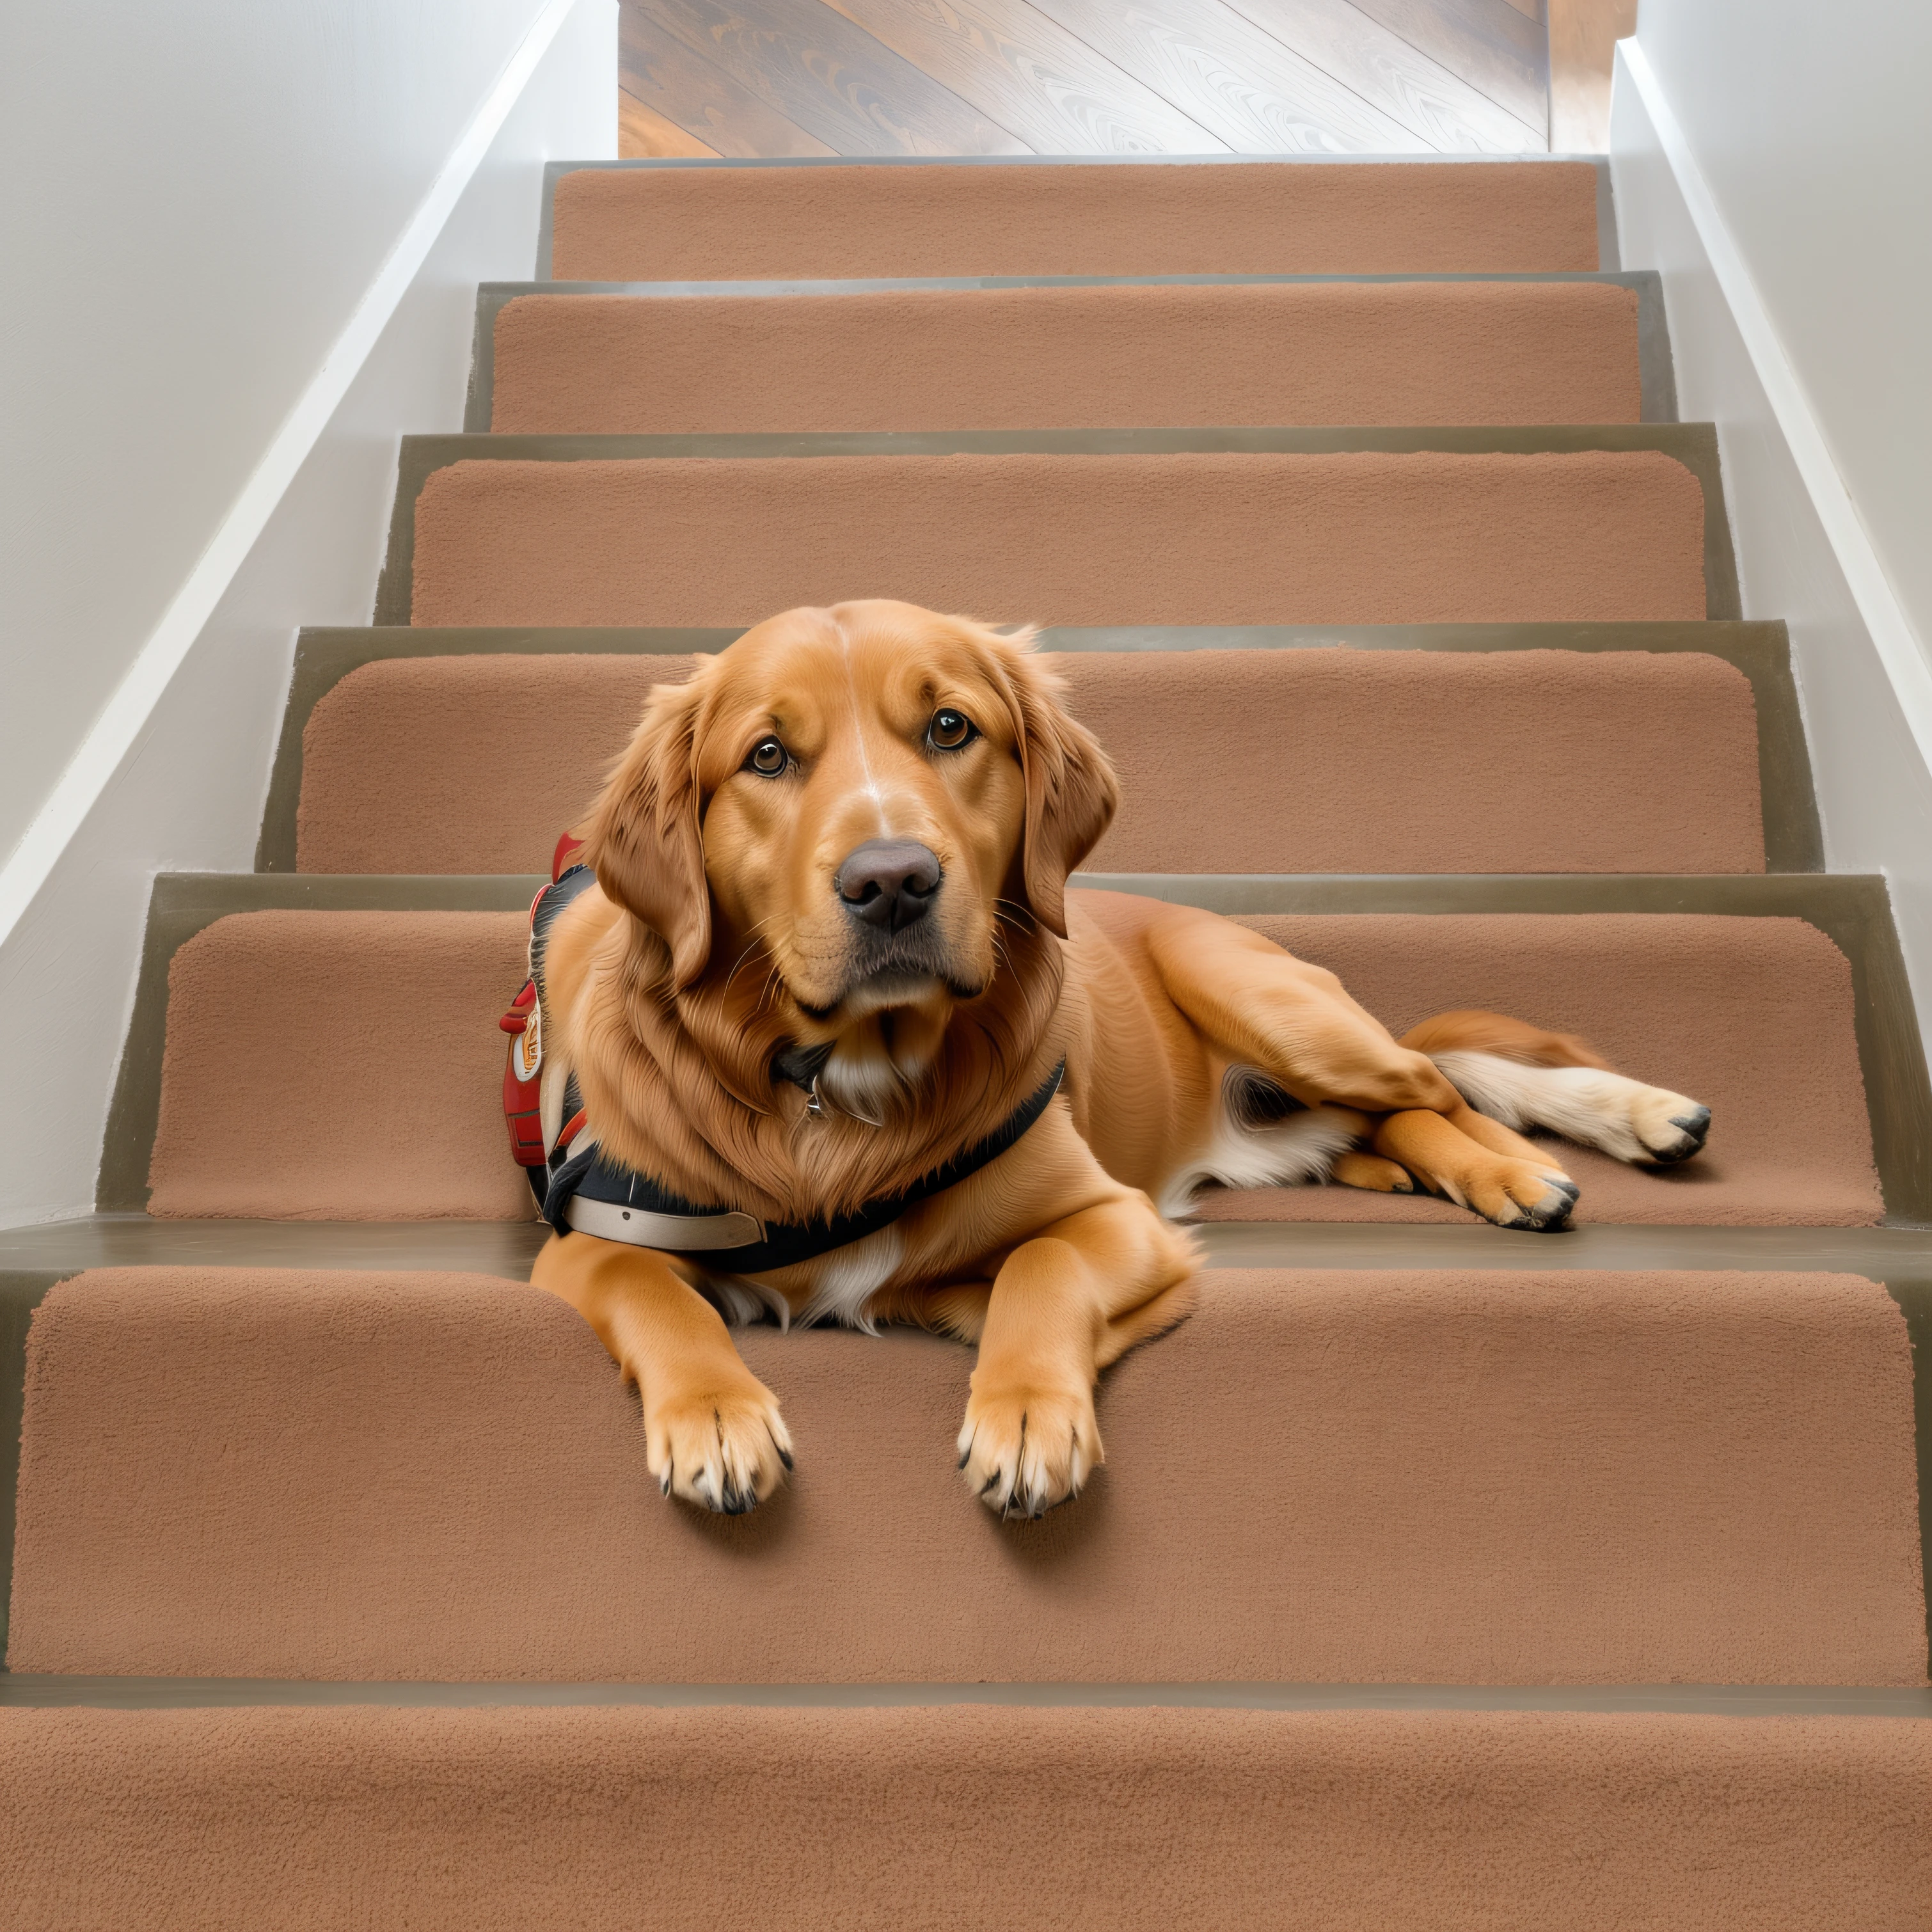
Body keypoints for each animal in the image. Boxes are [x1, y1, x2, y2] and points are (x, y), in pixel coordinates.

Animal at [521, 595, 1715, 1514]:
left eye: (950, 729)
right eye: (767, 756)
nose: (893, 880)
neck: (844, 1093)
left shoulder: (1116, 1216)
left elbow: (1038, 1264)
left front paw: (1026, 1416)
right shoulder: (586, 1245)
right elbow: (659, 1294)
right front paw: (717, 1417)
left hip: (1272, 1000)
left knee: (1437, 1085)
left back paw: (1543, 1163)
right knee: (1392, 1120)